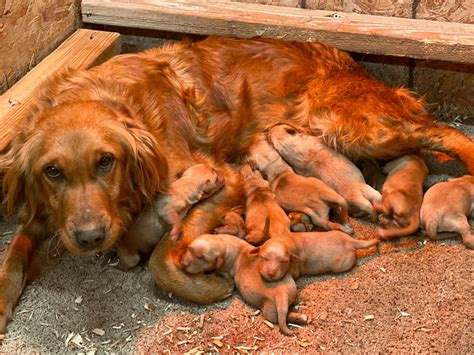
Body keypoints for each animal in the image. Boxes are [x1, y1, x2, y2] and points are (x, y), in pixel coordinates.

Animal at [0, 34, 474, 332]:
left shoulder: (222, 179)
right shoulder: (46, 212)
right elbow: (16, 249)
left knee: (448, 134)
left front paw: (205, 282)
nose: (90, 238)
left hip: (353, 123)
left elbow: (163, 258)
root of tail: (349, 61)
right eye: (52, 172)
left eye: (106, 161)